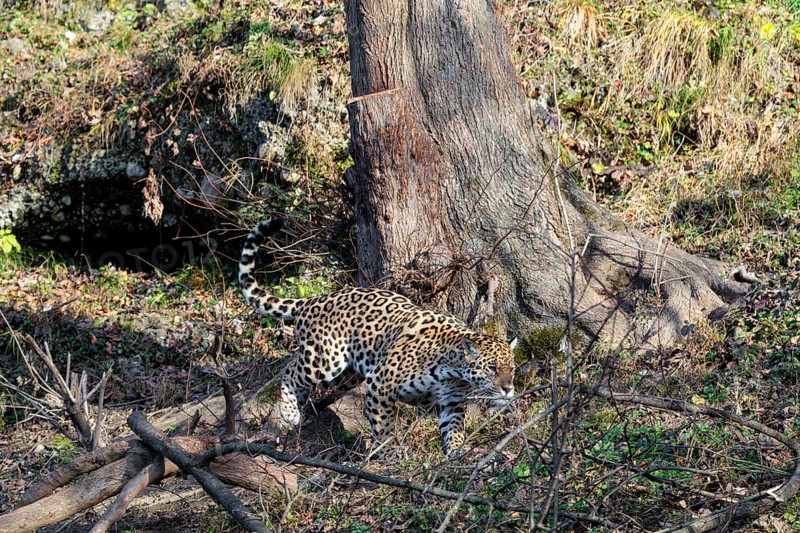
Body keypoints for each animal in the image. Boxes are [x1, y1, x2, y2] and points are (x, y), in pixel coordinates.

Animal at [239, 219, 517, 456]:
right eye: (492, 368)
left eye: (512, 369)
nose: (508, 389)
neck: (452, 367)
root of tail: (313, 300)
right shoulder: (380, 383)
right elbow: (382, 424)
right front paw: (388, 453)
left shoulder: (452, 400)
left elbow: (453, 429)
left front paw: (457, 454)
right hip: (326, 360)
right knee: (290, 372)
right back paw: (290, 412)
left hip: (348, 373)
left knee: (306, 383)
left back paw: (300, 410)